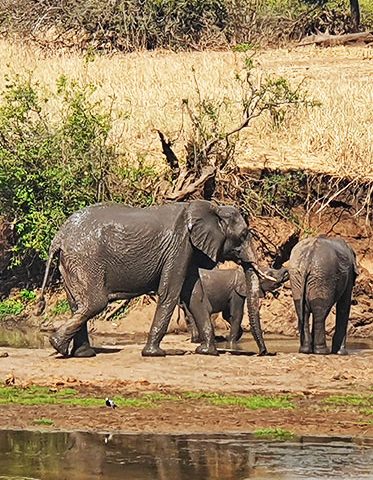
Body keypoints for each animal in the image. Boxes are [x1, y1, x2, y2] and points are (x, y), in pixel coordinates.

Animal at [37, 198, 274, 356]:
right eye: (243, 235)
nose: (264, 353)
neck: (212, 209)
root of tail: (59, 236)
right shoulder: (179, 246)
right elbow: (170, 292)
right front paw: (154, 353)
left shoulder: (188, 251)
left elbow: (194, 296)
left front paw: (207, 351)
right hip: (85, 259)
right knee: (95, 302)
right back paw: (58, 345)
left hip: (71, 262)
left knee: (78, 304)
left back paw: (82, 354)